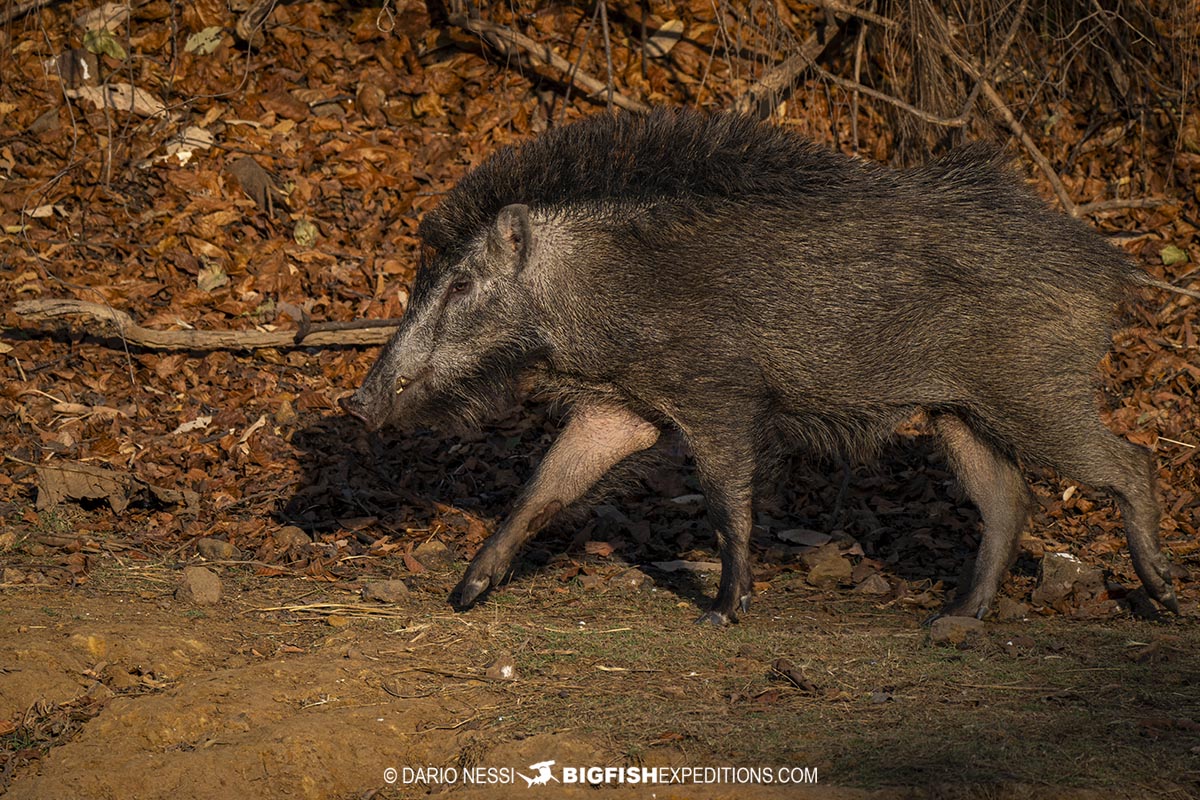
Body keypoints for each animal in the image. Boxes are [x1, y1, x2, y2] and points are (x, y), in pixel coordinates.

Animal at [341, 107, 1178, 625]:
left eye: (460, 283)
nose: (357, 403)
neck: (592, 290)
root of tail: (1112, 272)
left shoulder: (719, 398)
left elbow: (724, 499)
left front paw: (724, 610)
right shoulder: (621, 408)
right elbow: (542, 489)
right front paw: (463, 594)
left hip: (1035, 393)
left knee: (1128, 462)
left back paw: (1166, 597)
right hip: (959, 409)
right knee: (1006, 499)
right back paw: (952, 619)